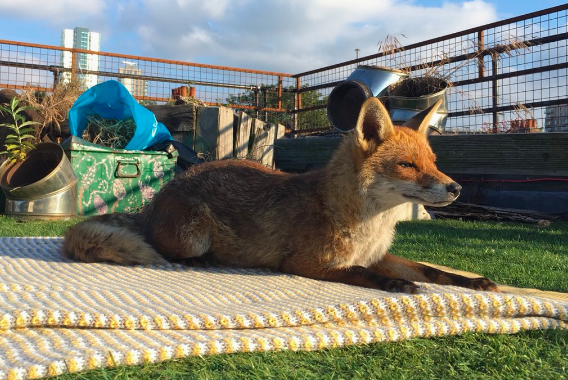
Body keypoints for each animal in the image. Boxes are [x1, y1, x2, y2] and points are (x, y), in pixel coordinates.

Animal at [62, 98, 496, 294]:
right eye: (407, 165)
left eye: (434, 162)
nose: (455, 188)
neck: (365, 224)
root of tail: (150, 205)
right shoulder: (308, 263)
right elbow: (364, 274)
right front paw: (396, 287)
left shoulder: (379, 255)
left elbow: (431, 270)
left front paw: (474, 281)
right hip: (193, 236)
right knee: (169, 251)